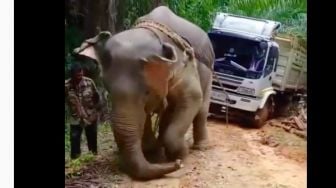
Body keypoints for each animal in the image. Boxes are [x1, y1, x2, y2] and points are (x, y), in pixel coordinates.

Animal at [73, 5, 215, 179]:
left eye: (147, 92)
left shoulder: (185, 66)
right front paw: (154, 153)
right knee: (170, 110)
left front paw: (180, 155)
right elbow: (144, 115)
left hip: (209, 72)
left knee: (201, 108)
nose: (178, 165)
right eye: (108, 90)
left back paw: (201, 147)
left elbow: (192, 97)